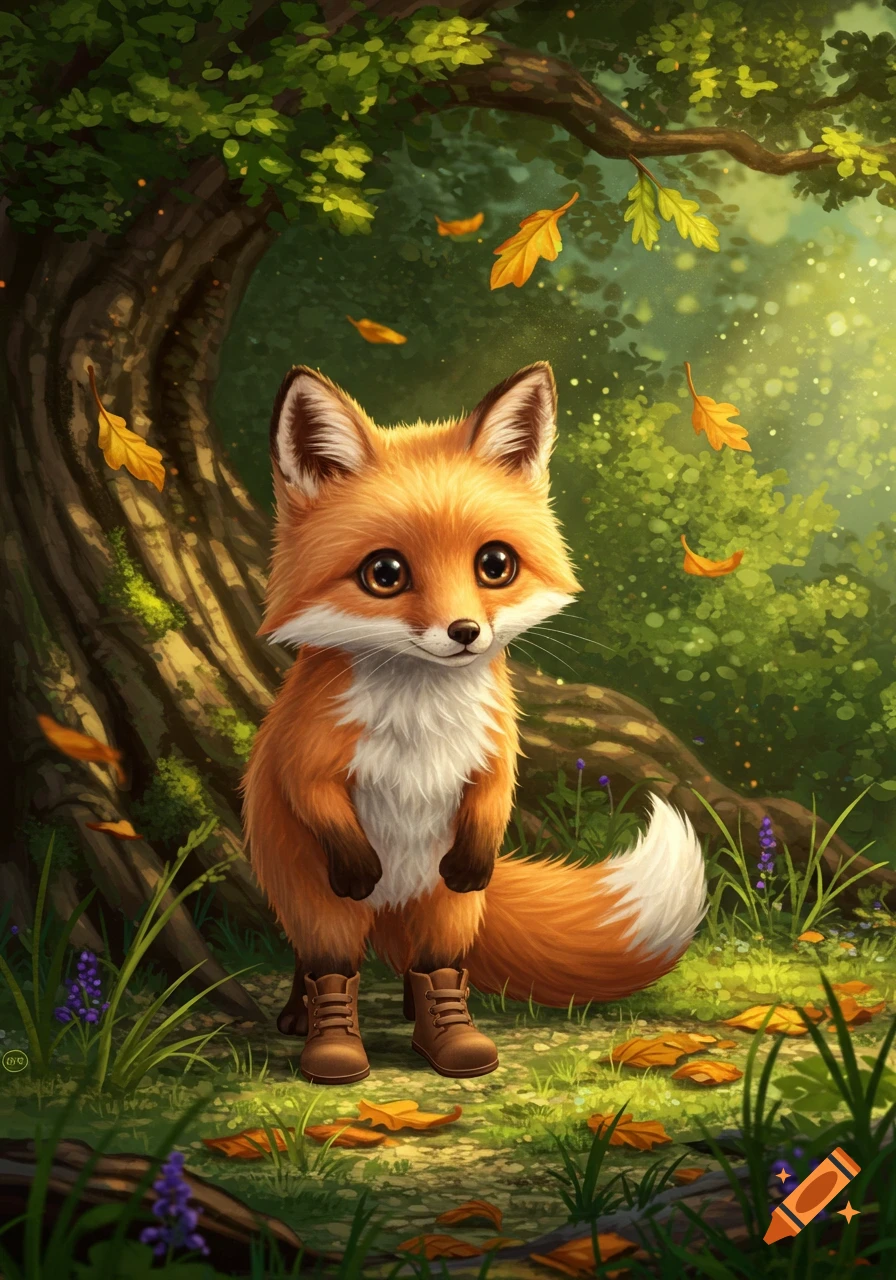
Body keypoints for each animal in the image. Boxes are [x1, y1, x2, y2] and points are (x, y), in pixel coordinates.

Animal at [242, 361, 707, 1085]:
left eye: (495, 564)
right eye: (385, 573)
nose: (464, 633)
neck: (419, 722)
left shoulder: (490, 755)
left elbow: (492, 801)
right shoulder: (307, 754)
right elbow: (311, 796)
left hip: (445, 902)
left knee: (434, 958)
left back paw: (438, 1026)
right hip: (314, 895)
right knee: (326, 960)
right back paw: (317, 1029)